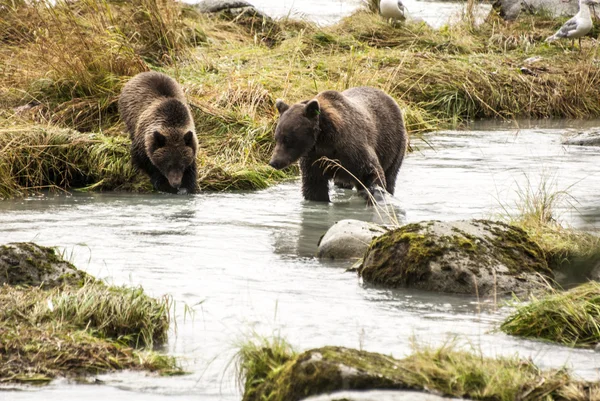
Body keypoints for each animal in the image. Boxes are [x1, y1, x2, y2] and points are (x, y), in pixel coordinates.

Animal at [270, 86, 408, 202]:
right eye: (276, 138)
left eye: (287, 139)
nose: (274, 162)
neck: (323, 140)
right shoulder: (314, 159)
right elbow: (314, 186)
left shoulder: (353, 150)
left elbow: (373, 173)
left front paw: (375, 195)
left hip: (394, 144)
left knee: (390, 175)